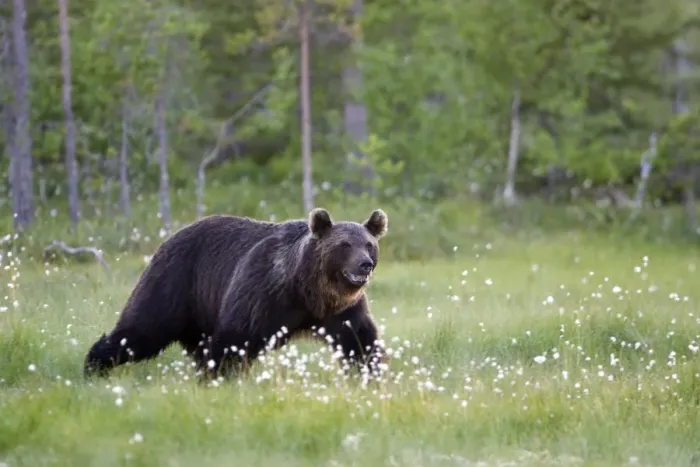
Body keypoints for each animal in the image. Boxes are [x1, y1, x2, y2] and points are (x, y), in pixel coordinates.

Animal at [83, 207, 389, 381]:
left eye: (369, 244)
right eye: (345, 245)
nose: (365, 264)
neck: (310, 292)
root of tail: (171, 236)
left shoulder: (342, 311)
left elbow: (360, 341)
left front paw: (372, 377)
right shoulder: (264, 293)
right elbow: (235, 338)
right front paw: (222, 377)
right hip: (176, 280)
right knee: (143, 328)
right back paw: (94, 365)